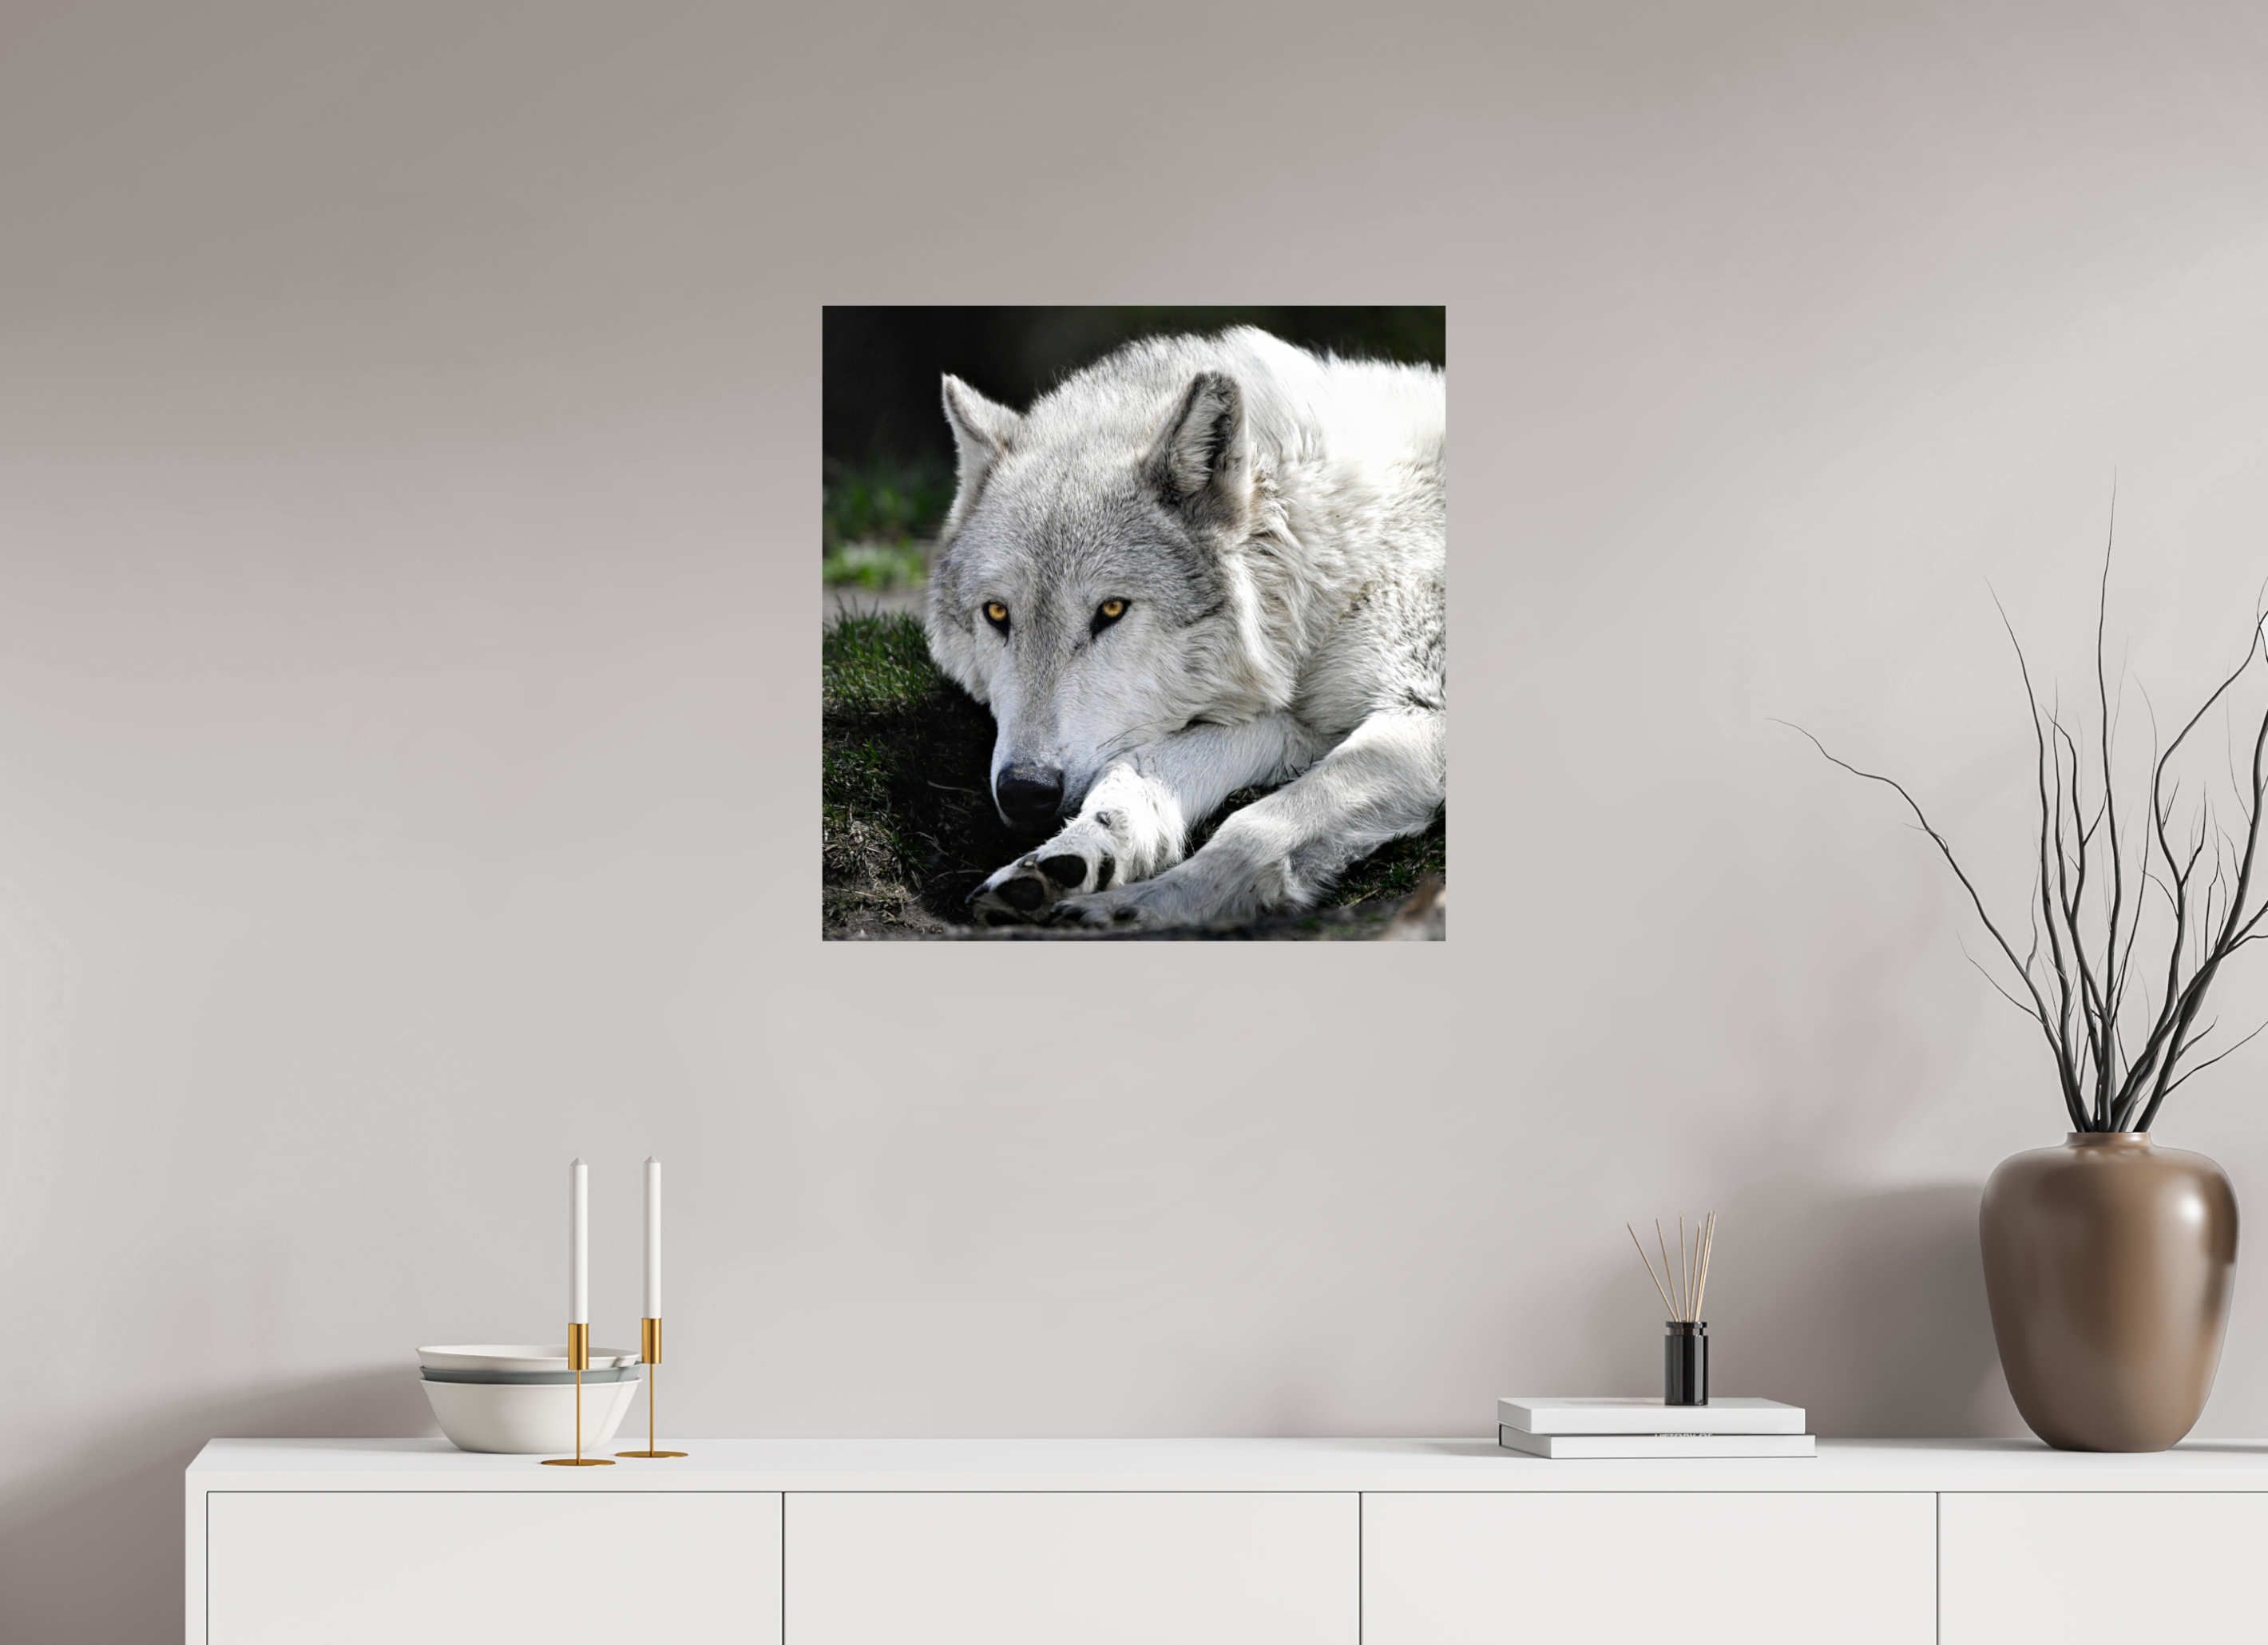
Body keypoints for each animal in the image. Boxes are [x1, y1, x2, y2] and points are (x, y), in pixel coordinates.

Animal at [925, 327, 1445, 929]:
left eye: (1111, 610)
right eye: (997, 614)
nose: (1024, 792)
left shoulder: (1423, 713)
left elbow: (1257, 824)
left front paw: (1141, 909)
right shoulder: (1300, 725)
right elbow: (1135, 766)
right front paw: (1076, 854)